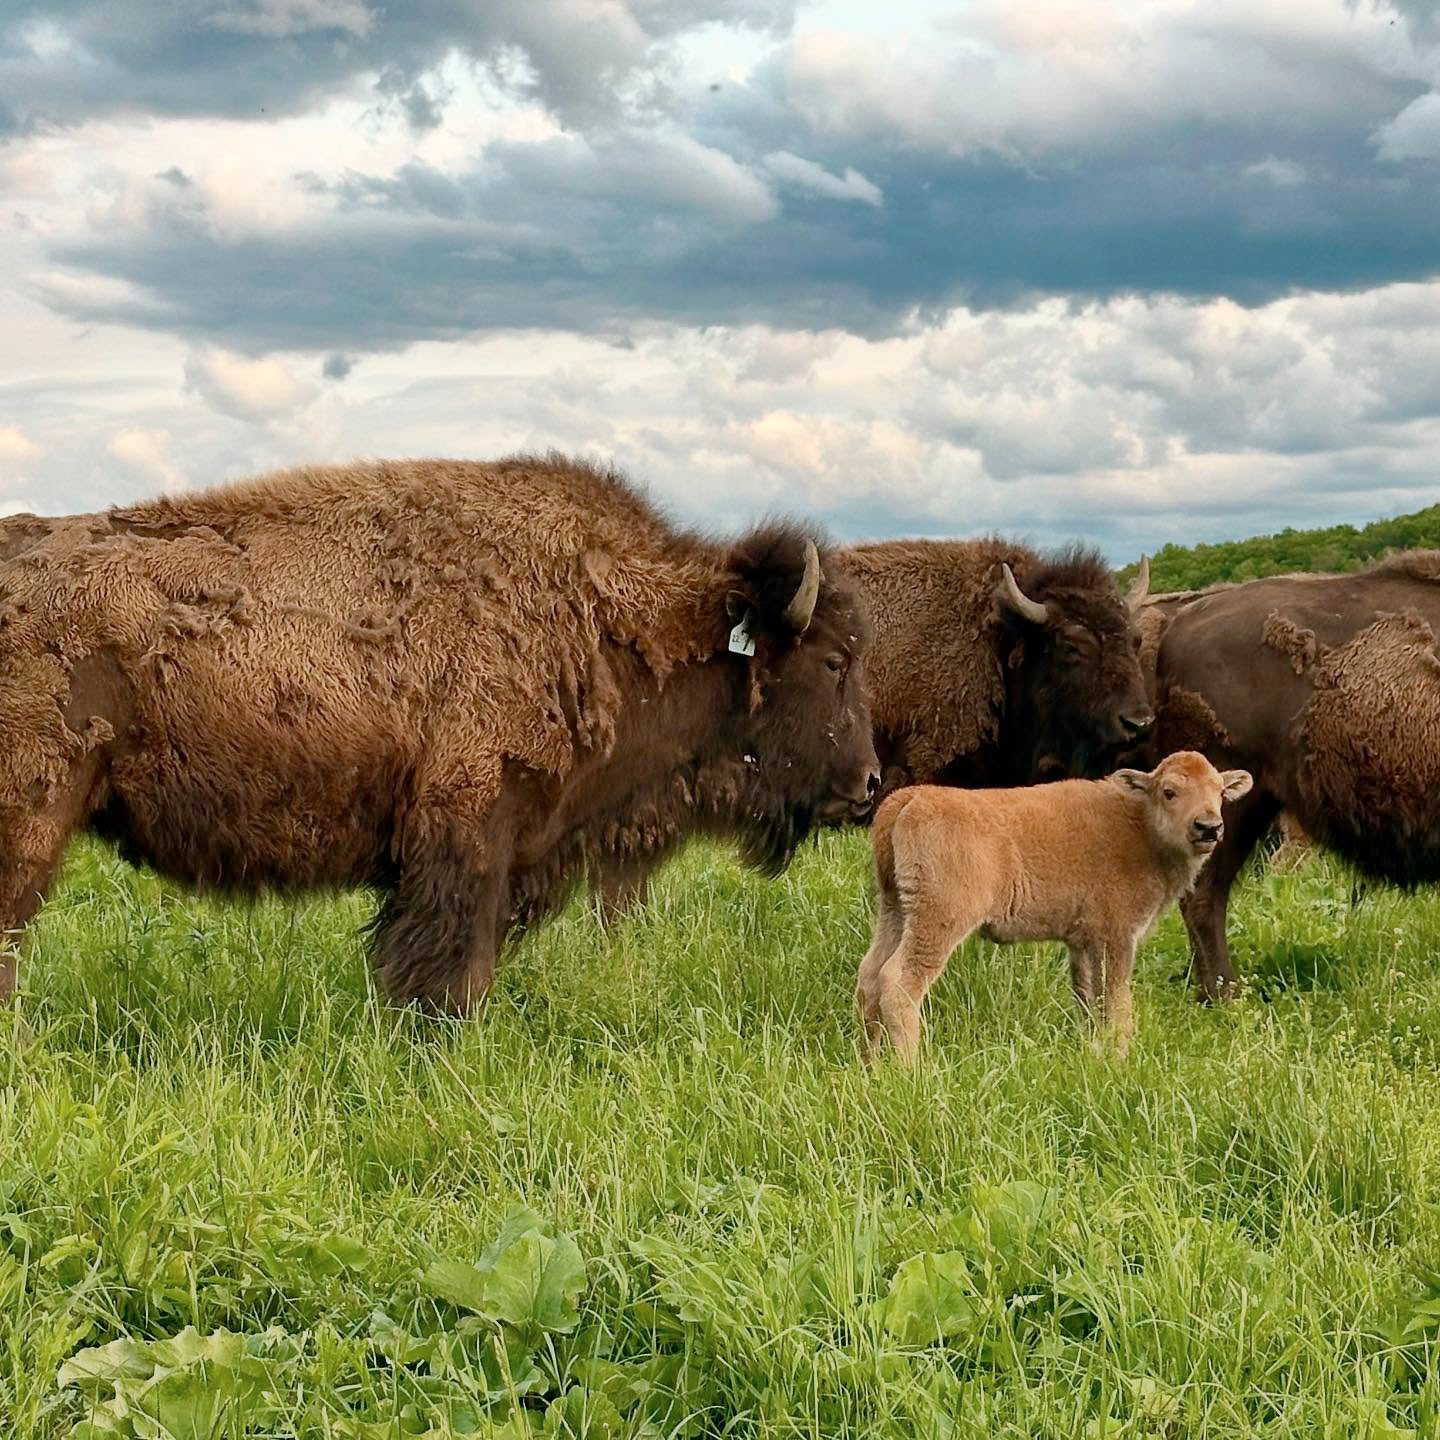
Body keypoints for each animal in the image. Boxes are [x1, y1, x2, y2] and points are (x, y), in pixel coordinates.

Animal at [0, 454, 880, 1014]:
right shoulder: (468, 834)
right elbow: (452, 972)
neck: (611, 618)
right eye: (834, 660)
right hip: (35, 816)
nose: (870, 783)